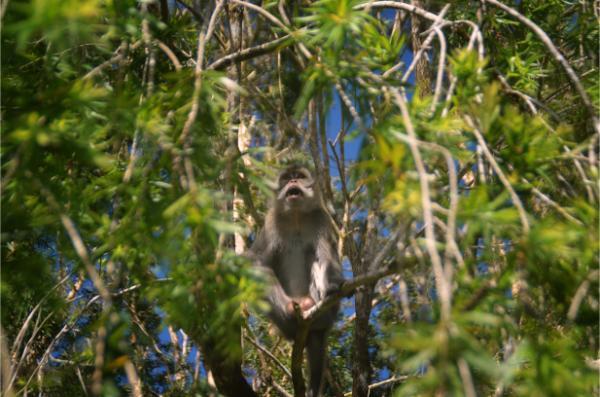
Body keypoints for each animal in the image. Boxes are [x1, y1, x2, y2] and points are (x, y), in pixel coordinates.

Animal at [248, 164, 342, 396]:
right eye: (286, 178)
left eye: (299, 176)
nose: (292, 182)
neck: (297, 215)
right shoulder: (272, 221)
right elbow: (256, 262)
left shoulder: (320, 218)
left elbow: (326, 255)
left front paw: (333, 286)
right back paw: (294, 310)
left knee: (315, 254)